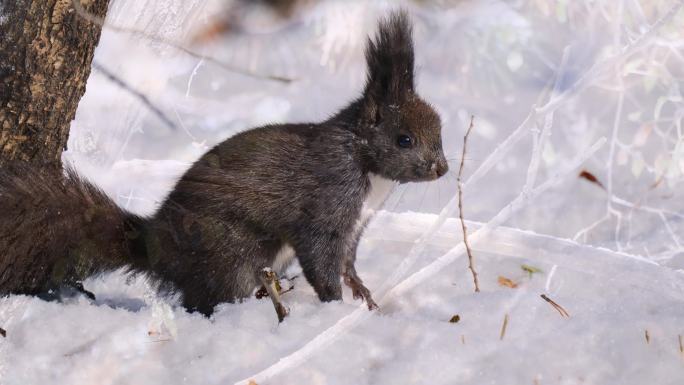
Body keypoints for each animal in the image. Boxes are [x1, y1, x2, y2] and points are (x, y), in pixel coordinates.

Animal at [0, 11, 448, 318]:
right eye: (404, 140)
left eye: (440, 131)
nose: (441, 170)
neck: (364, 165)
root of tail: (155, 247)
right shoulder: (327, 202)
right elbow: (321, 259)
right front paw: (333, 305)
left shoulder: (357, 225)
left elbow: (349, 264)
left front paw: (366, 298)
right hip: (229, 252)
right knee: (210, 296)